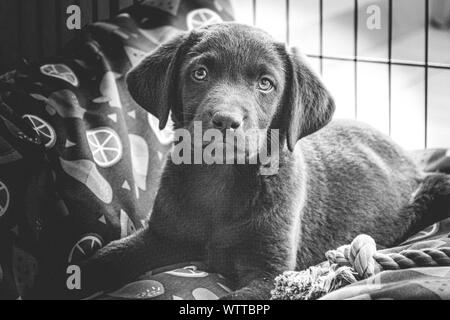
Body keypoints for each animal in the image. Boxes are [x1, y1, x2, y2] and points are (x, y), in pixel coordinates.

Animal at [75, 23, 448, 300]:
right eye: (199, 73)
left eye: (266, 84)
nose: (225, 120)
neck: (220, 180)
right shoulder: (161, 236)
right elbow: (106, 258)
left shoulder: (270, 274)